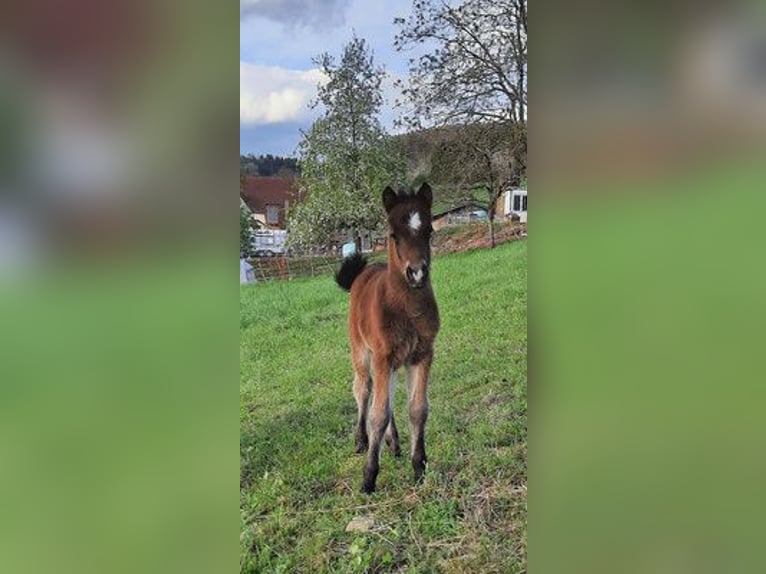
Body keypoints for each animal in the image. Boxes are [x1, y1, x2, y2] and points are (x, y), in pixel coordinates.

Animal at [338, 183, 444, 496]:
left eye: (429, 231)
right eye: (393, 234)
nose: (417, 273)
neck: (406, 310)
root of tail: (364, 271)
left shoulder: (422, 354)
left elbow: (417, 409)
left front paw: (419, 467)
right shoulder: (383, 357)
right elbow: (377, 414)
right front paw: (369, 477)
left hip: (391, 361)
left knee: (385, 397)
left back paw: (393, 442)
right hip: (362, 351)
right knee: (363, 389)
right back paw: (361, 440)